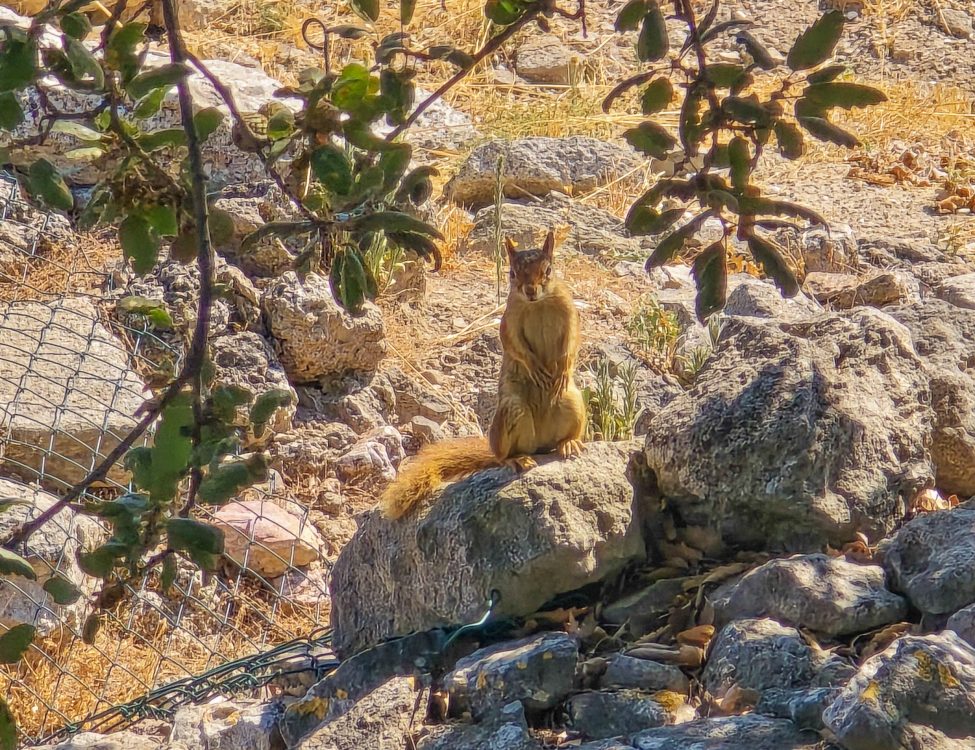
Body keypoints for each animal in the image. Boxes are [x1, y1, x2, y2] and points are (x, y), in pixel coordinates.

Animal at [381, 229, 587, 520]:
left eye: (548, 270)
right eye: (512, 273)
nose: (530, 290)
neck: (538, 305)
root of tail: (541, 445)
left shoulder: (570, 314)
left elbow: (572, 342)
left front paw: (562, 370)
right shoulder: (508, 320)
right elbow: (513, 344)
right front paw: (535, 368)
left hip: (573, 402)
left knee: (567, 433)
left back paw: (569, 443)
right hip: (512, 411)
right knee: (503, 456)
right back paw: (516, 459)